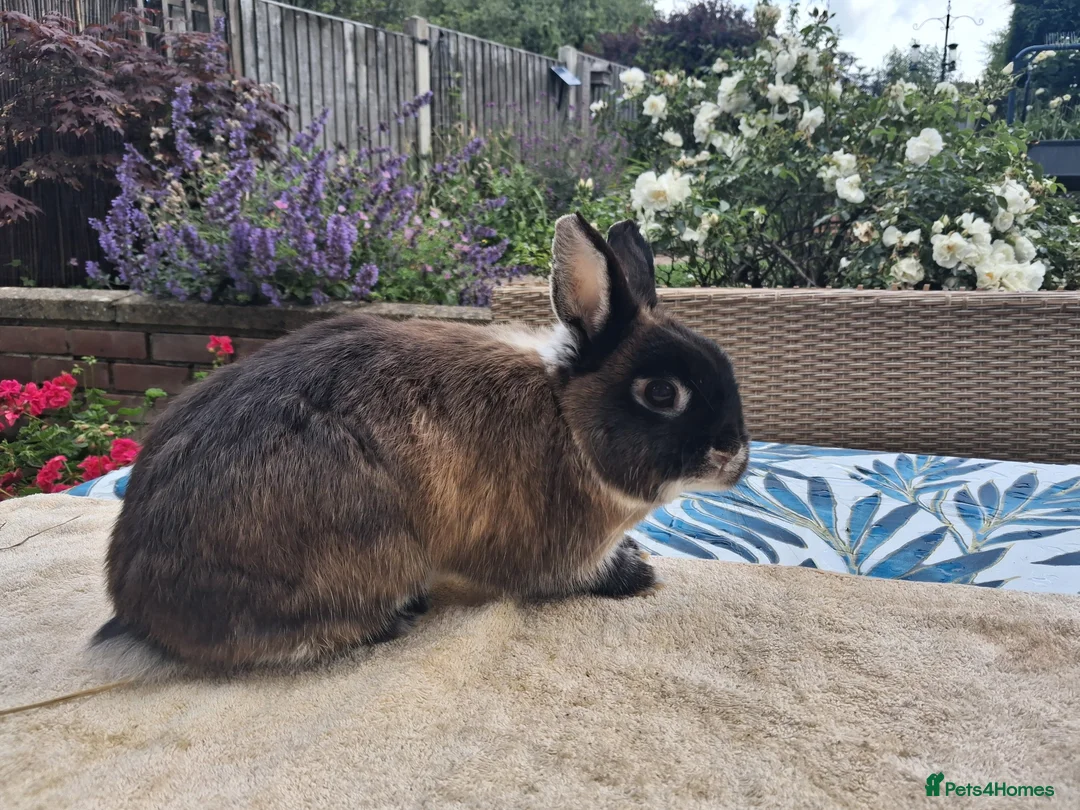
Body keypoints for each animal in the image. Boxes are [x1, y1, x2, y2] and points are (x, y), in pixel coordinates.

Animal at [95, 214, 749, 669]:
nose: (736, 458)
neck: (567, 416)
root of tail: (136, 602)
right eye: (661, 393)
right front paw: (638, 575)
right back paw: (397, 617)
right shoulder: (555, 549)